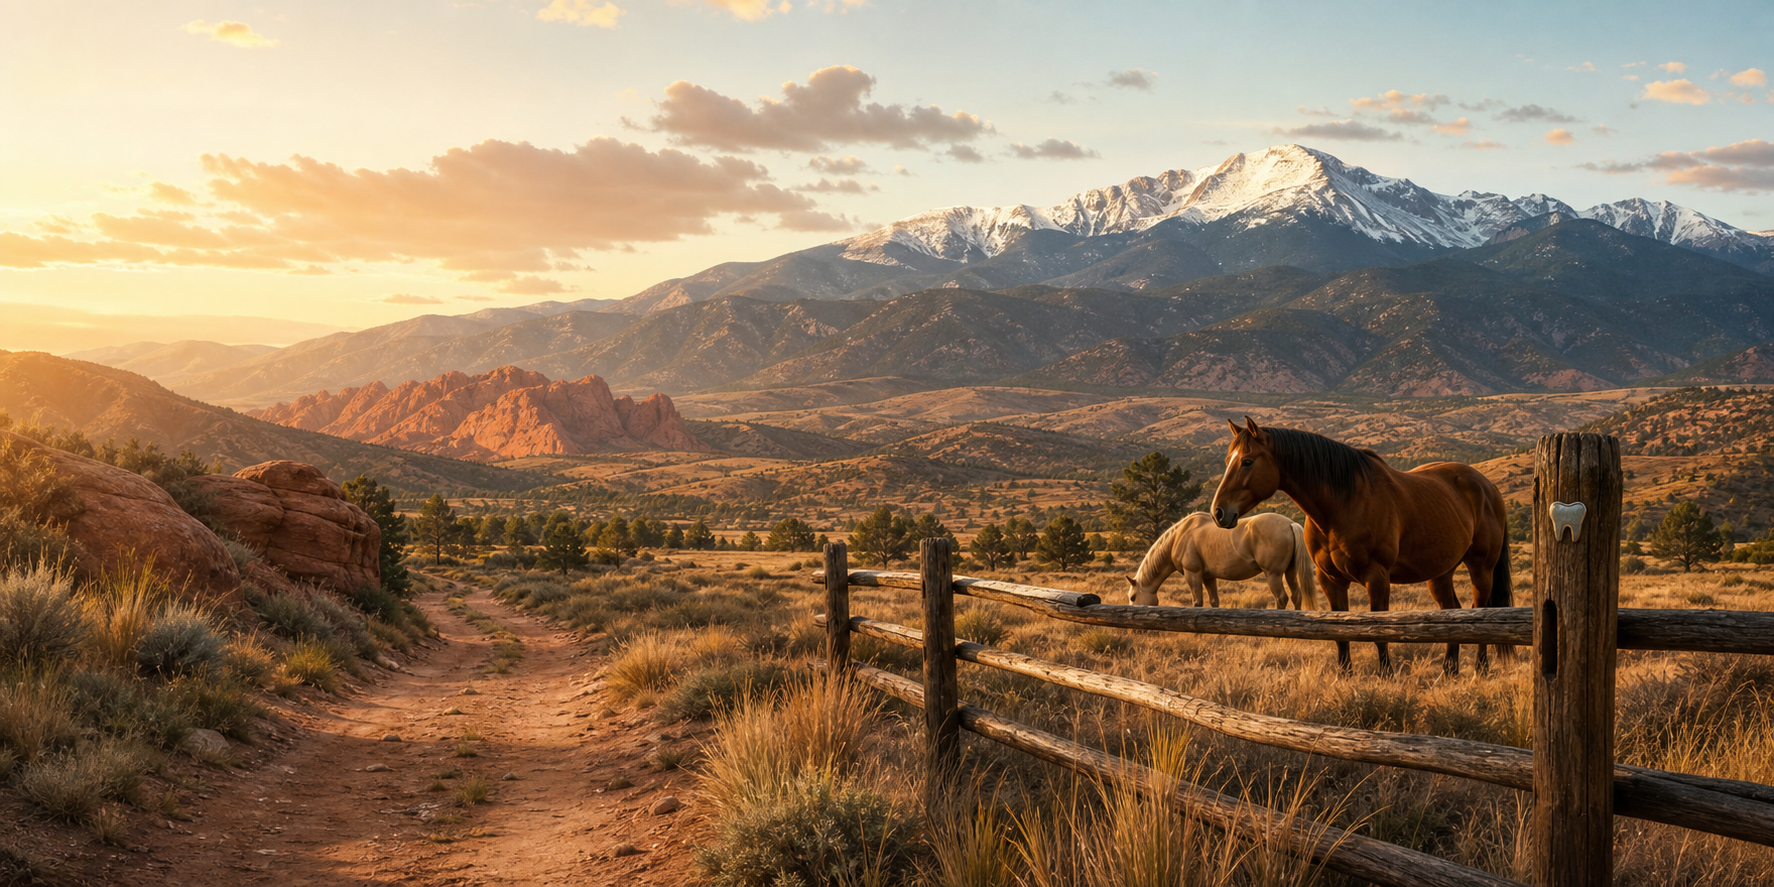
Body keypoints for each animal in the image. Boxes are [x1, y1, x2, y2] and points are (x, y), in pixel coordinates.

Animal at [1126, 511, 1320, 611]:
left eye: (1133, 597)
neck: (1179, 536)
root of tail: (1290, 524)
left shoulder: (1192, 574)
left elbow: (1197, 603)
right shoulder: (1209, 577)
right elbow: (1214, 603)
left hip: (1273, 575)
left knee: (1281, 598)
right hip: (1290, 572)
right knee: (1296, 596)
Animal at [1207, 417, 1512, 673]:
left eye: (1247, 461)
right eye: (1227, 460)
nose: (1218, 512)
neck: (1343, 504)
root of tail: (1488, 487)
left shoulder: (1376, 576)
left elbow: (1379, 631)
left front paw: (1386, 675)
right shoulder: (1330, 579)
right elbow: (1340, 635)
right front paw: (1345, 675)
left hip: (1481, 568)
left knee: (1480, 612)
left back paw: (1481, 670)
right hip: (1440, 573)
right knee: (1452, 612)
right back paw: (1449, 671)